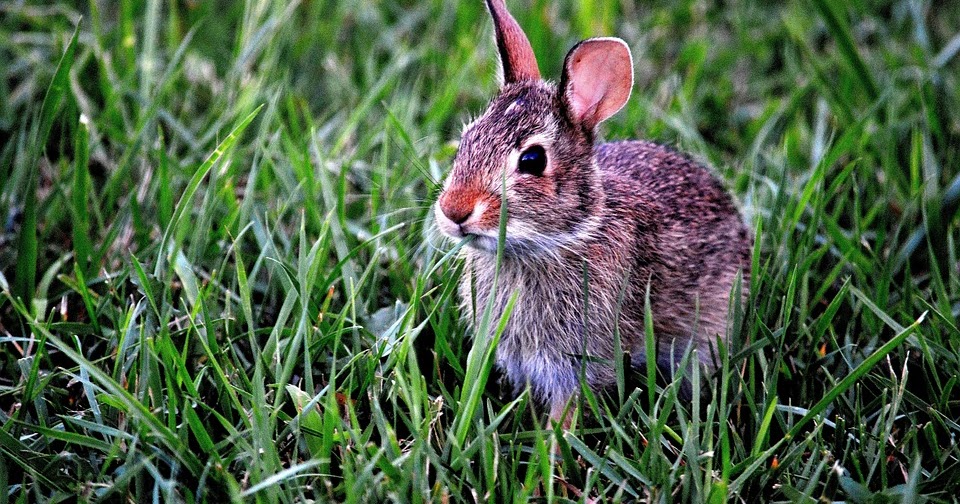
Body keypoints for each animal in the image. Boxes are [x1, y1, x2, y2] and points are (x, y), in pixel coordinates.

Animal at [432, 0, 752, 426]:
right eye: (466, 139)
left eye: (532, 160)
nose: (453, 211)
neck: (564, 237)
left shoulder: (580, 362)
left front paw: (554, 443)